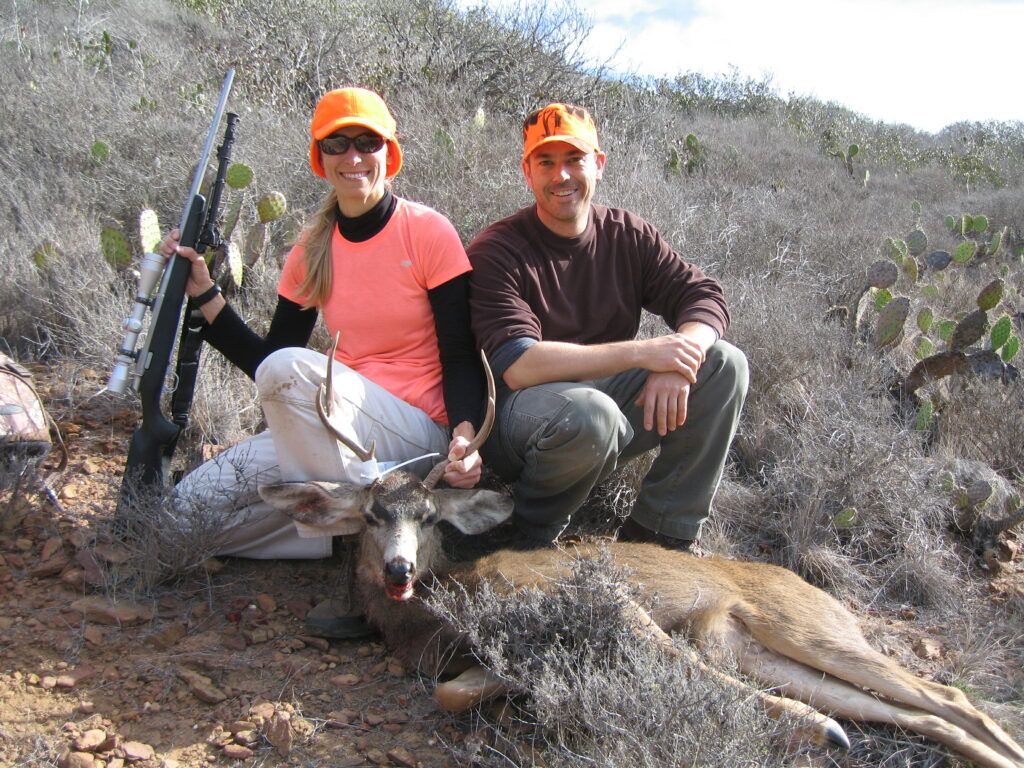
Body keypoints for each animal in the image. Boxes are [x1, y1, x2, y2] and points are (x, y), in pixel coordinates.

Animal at [258, 352, 1024, 765]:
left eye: (429, 519)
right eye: (373, 517)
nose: (398, 571)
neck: (455, 607)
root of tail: (813, 588)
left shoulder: (616, 604)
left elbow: (683, 670)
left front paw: (819, 731)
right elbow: (455, 691)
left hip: (804, 626)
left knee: (952, 697)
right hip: (757, 645)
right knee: (925, 713)